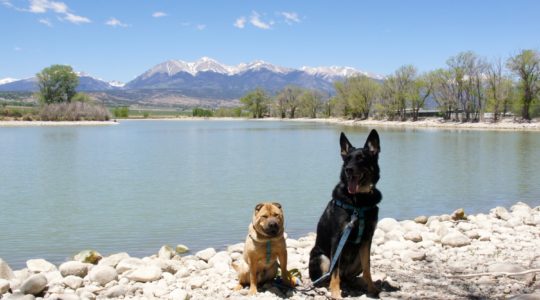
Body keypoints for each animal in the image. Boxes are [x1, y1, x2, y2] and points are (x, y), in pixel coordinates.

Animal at [310, 130, 382, 298]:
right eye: (347, 158)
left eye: (361, 158)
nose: (348, 169)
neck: (359, 201)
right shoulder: (338, 237)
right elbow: (334, 271)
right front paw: (336, 293)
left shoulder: (367, 238)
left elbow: (368, 268)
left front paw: (372, 288)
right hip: (321, 257)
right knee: (328, 276)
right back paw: (327, 287)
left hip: (357, 260)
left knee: (348, 276)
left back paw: (355, 283)